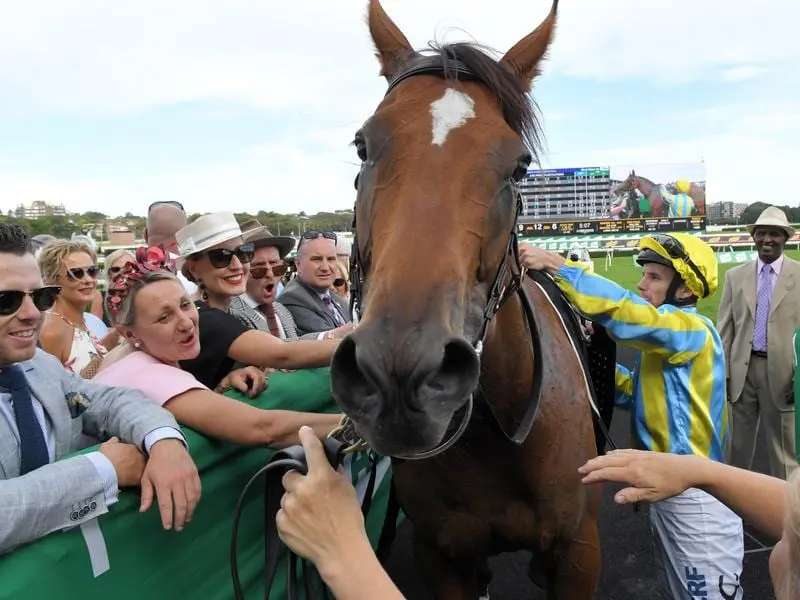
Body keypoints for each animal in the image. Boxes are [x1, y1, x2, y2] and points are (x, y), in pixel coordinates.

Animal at [328, 1, 604, 600]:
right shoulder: (442, 556)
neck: (492, 435)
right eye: (363, 145)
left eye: (520, 165)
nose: (398, 370)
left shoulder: (579, 549)